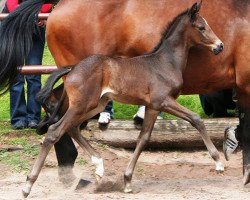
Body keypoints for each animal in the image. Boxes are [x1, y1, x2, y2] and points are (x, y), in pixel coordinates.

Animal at [0, 0, 249, 185]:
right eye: (201, 27)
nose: (220, 46)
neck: (164, 61)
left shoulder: (153, 106)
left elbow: (144, 138)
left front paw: (127, 178)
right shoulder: (164, 100)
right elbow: (198, 119)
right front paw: (221, 162)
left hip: (93, 103)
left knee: (63, 118)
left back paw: (93, 167)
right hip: (84, 102)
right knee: (55, 125)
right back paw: (41, 179)